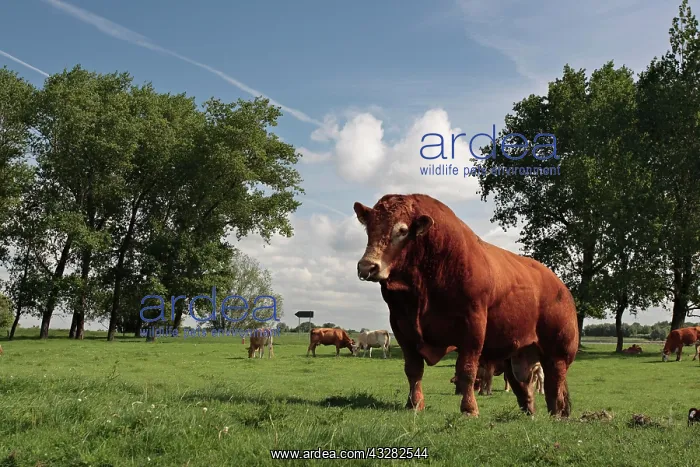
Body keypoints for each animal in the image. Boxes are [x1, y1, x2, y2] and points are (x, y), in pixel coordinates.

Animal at [353, 193, 578, 418]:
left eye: (402, 231)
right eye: (369, 228)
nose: (367, 266)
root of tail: (561, 286)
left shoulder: (473, 326)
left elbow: (467, 370)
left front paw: (469, 409)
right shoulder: (401, 326)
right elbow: (413, 369)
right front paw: (414, 404)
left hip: (558, 353)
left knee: (555, 385)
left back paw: (558, 416)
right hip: (514, 355)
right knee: (524, 387)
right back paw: (531, 413)